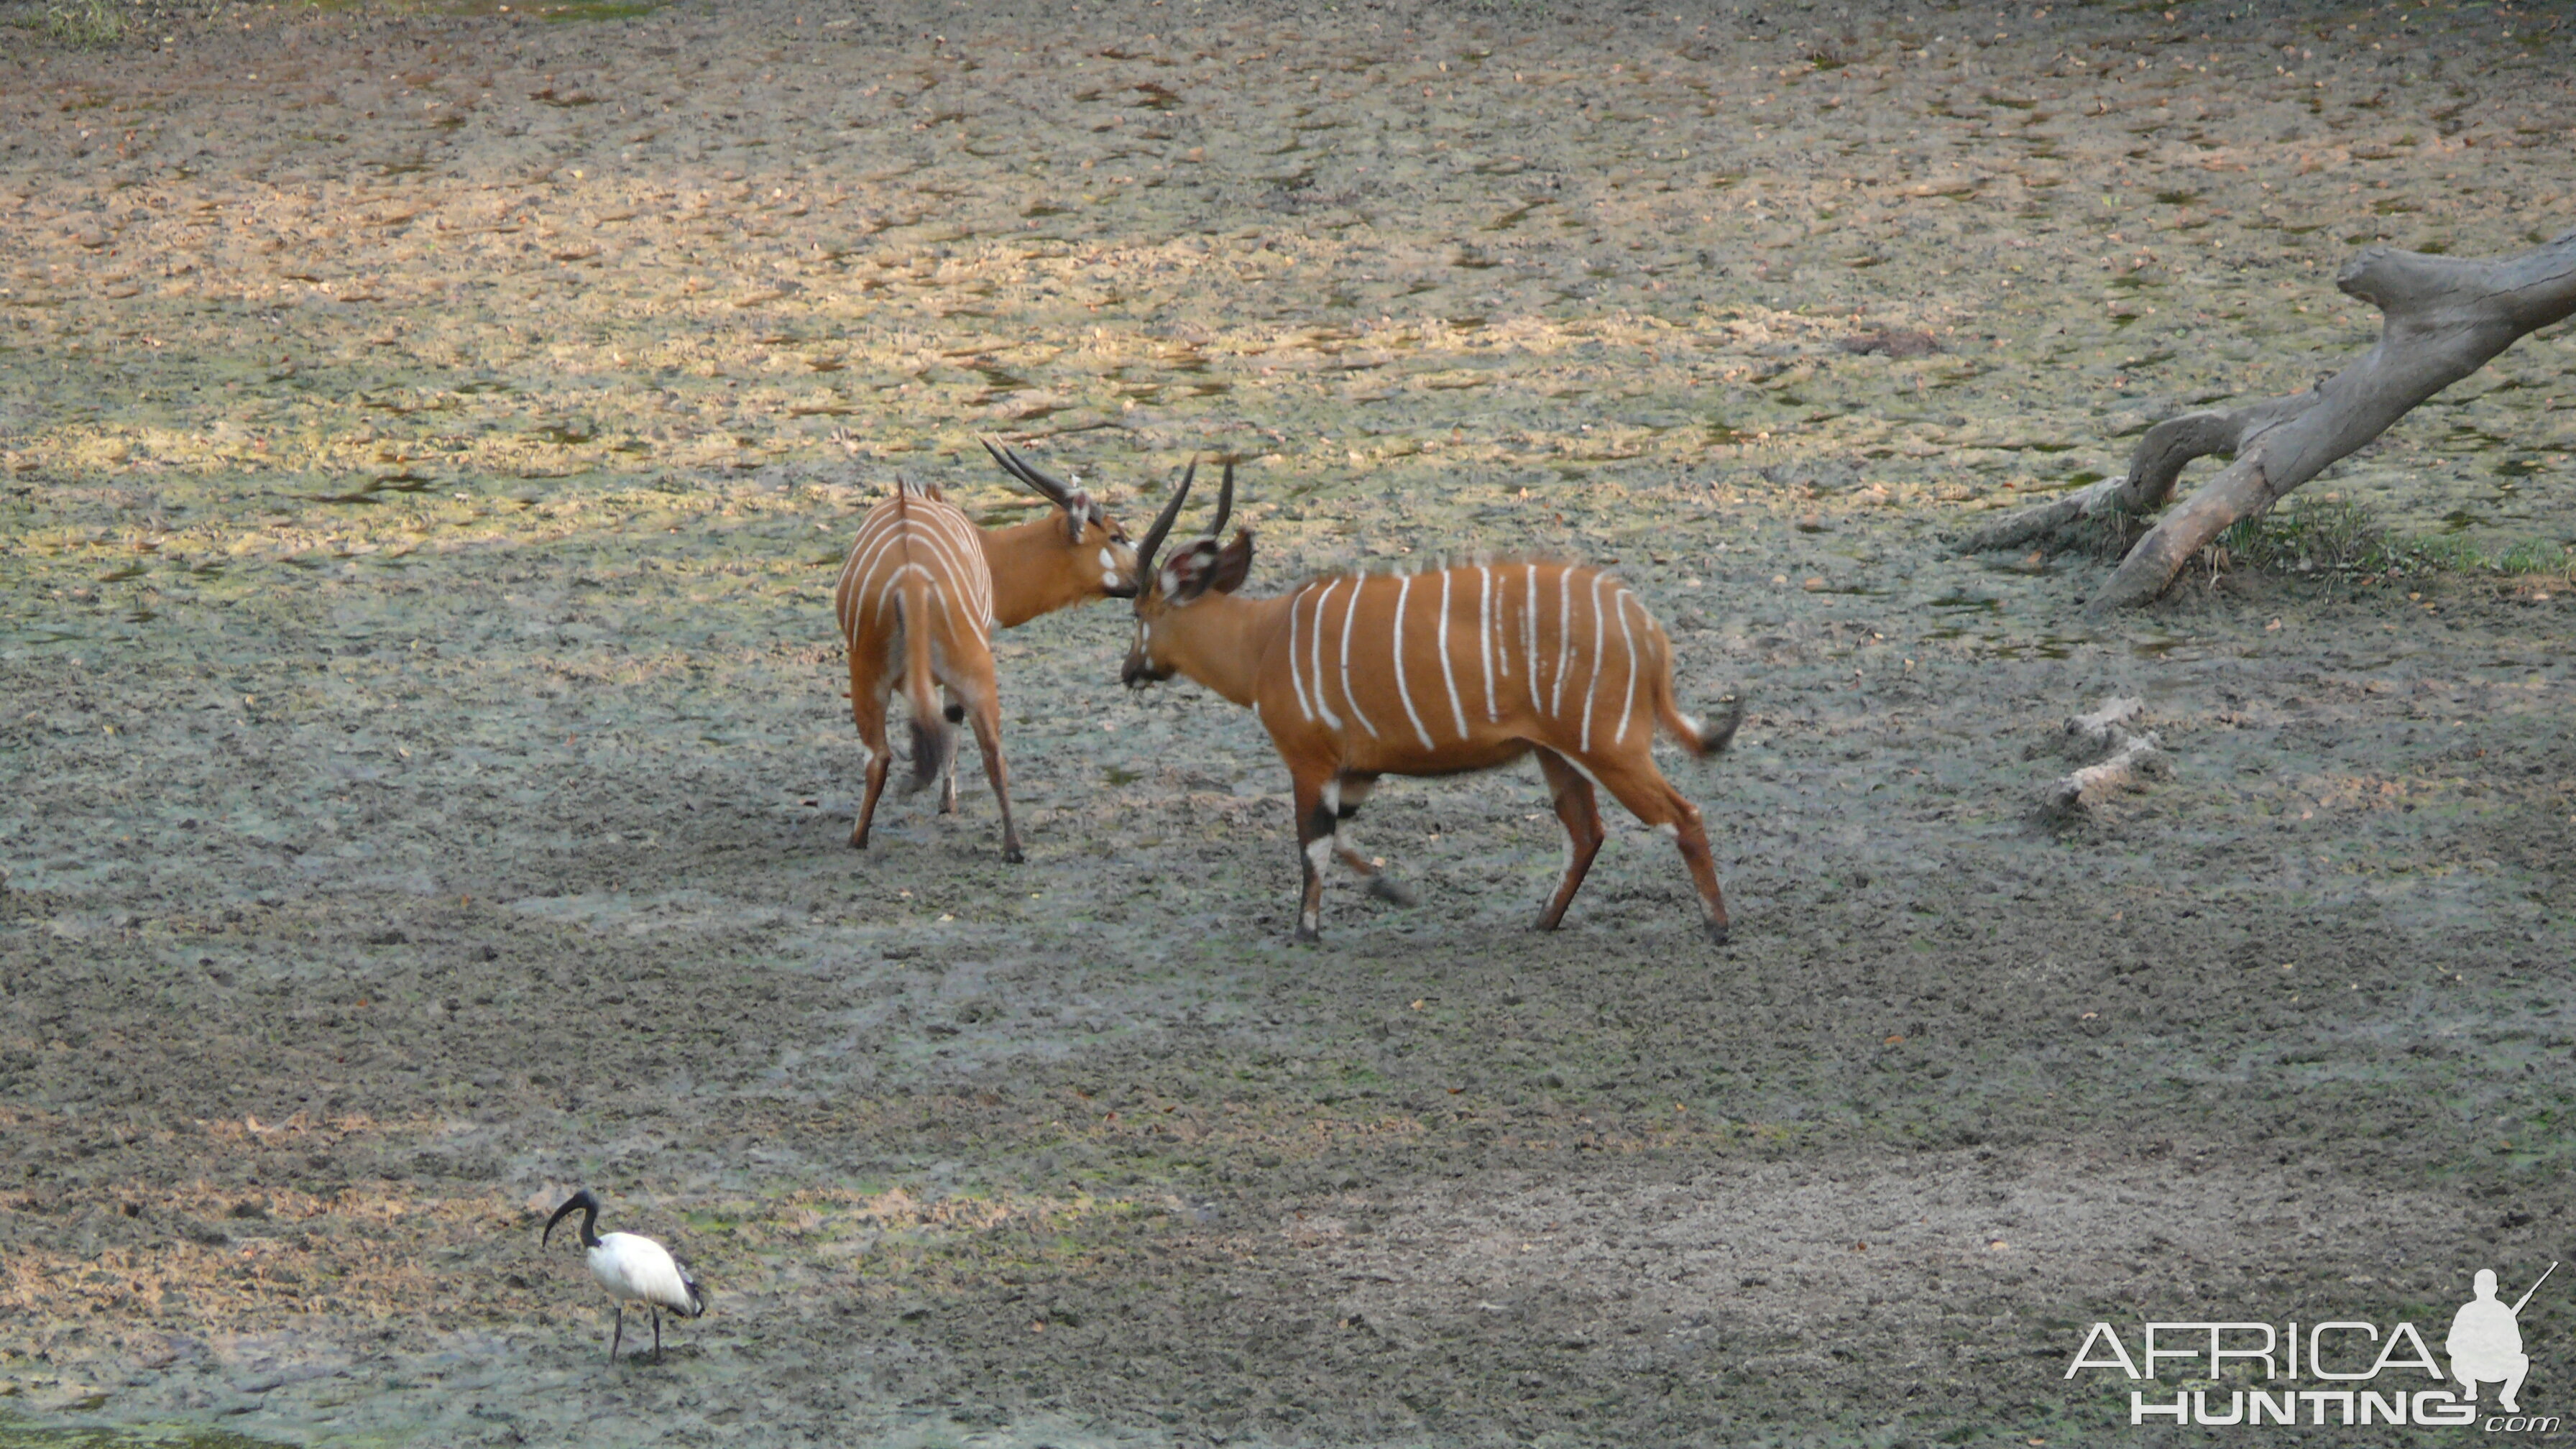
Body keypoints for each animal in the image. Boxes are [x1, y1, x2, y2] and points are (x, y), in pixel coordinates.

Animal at [543, 1186, 706, 1351]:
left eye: (577, 1199)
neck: (600, 1246)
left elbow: (627, 1328)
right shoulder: (616, 1295)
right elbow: (617, 1330)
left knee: (656, 1323)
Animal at [834, 441, 1138, 855]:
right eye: (1116, 536)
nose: (1148, 575)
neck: (987, 549)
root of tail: (911, 578)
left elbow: (949, 722)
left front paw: (947, 805)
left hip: (878, 675)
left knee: (891, 755)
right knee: (983, 750)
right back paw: (1012, 848)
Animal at [1118, 456, 1741, 943]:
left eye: (1139, 614)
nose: (1128, 672)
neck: (1264, 638)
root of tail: (1645, 628)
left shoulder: (1310, 761)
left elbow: (1312, 847)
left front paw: (1306, 932)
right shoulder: (1358, 769)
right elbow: (1342, 838)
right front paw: (1393, 890)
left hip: (1609, 748)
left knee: (1681, 817)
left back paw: (1717, 927)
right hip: (1558, 753)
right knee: (1586, 832)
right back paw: (1542, 921)